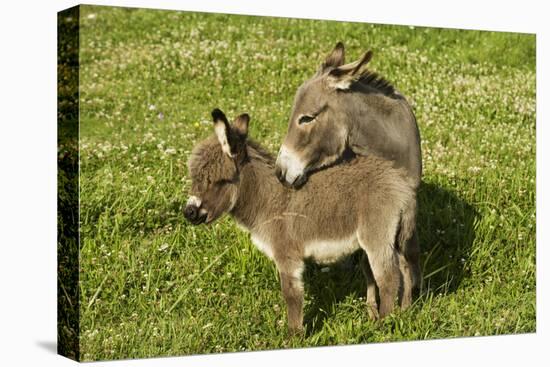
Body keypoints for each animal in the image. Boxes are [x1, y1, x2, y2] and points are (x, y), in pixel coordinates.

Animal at [185, 108, 418, 334]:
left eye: (219, 181)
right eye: (195, 179)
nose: (189, 213)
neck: (267, 200)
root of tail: (401, 186)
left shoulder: (287, 254)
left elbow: (292, 295)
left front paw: (294, 335)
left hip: (376, 235)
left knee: (388, 279)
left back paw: (384, 324)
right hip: (394, 236)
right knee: (405, 269)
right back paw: (404, 312)